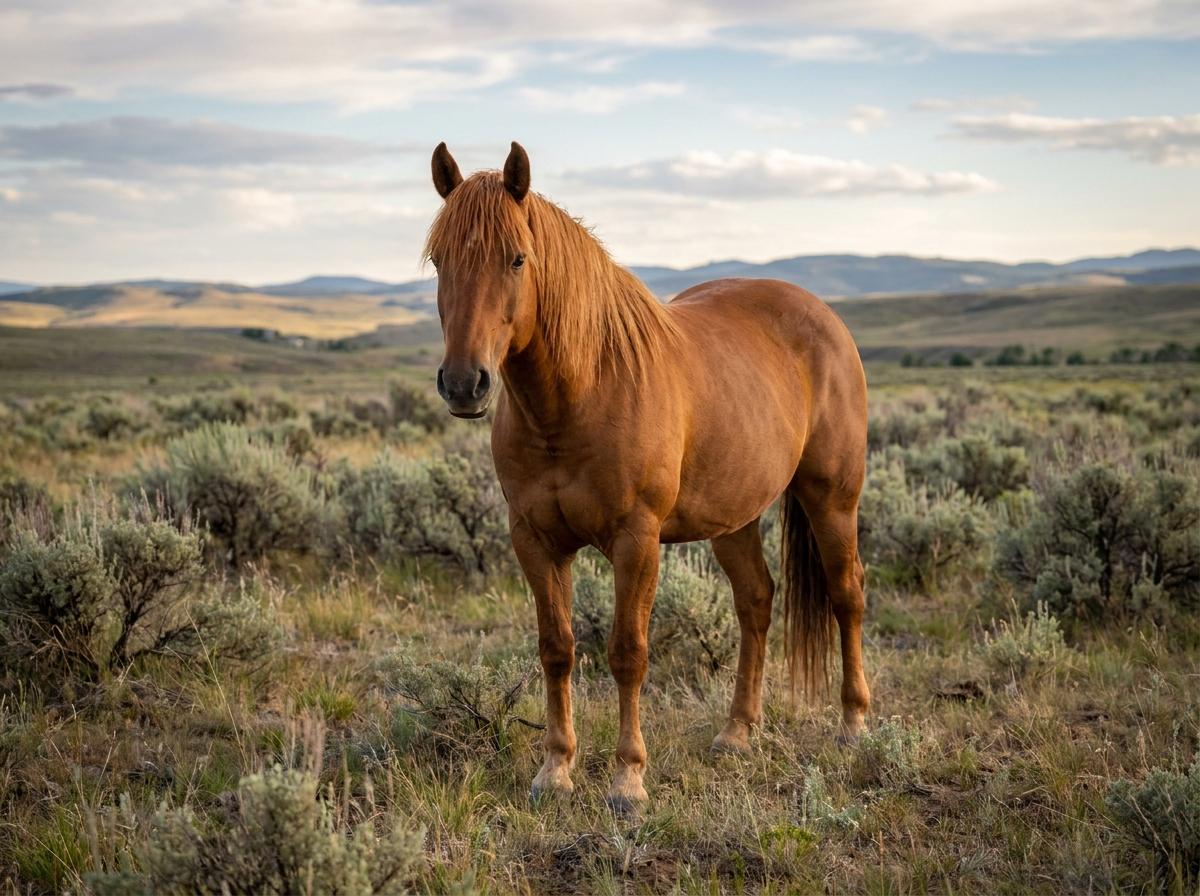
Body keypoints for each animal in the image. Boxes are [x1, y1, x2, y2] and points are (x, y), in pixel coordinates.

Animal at [424, 141, 870, 813]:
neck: (576, 399)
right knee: (756, 601)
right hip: (732, 517)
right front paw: (555, 770)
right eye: (438, 261)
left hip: (832, 499)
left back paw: (853, 725)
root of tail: (824, 316)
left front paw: (627, 781)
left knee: (847, 595)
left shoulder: (636, 541)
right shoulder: (534, 540)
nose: (463, 383)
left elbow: (628, 653)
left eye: (517, 258)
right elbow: (556, 649)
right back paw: (737, 733)